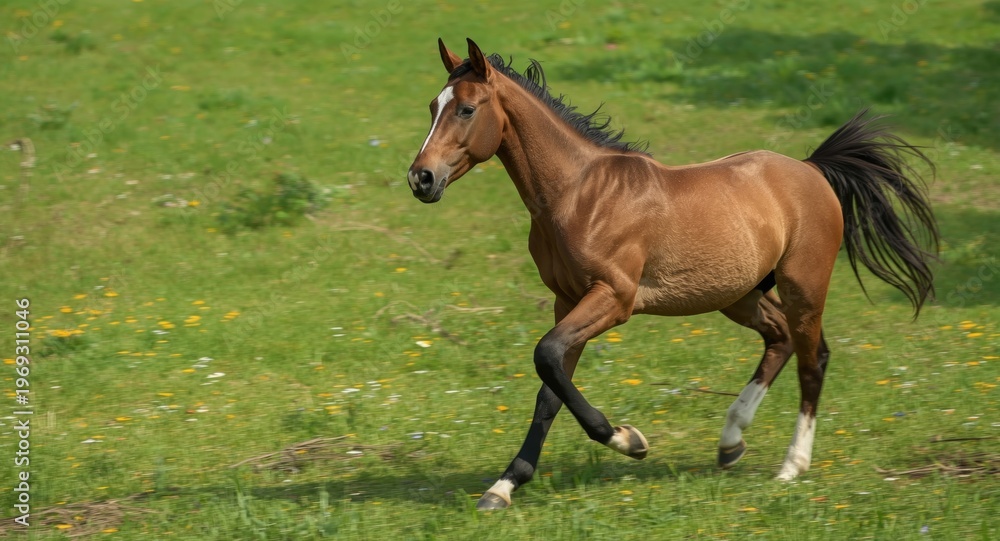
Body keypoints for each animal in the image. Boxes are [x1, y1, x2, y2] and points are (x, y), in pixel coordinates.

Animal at [406, 38, 939, 510]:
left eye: (467, 109)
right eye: (432, 106)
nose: (420, 178)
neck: (577, 195)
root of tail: (811, 170)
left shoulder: (614, 298)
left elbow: (547, 357)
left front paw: (628, 439)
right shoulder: (567, 300)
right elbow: (549, 388)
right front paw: (503, 487)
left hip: (802, 286)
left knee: (813, 360)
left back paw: (791, 466)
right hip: (739, 295)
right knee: (780, 338)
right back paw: (730, 443)